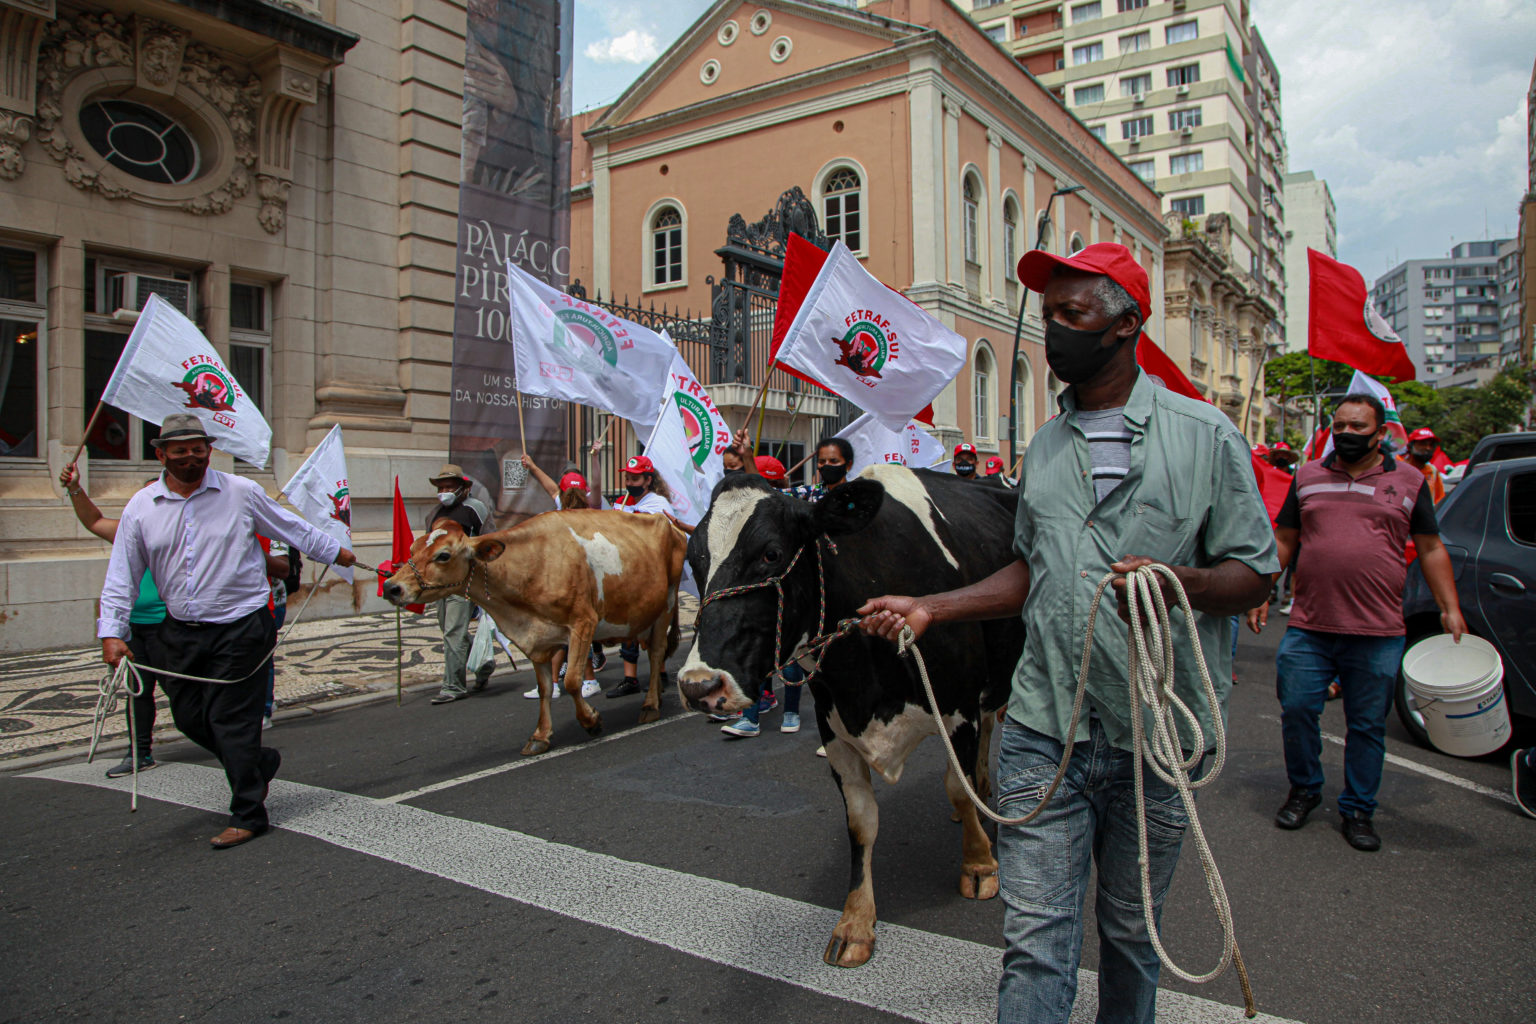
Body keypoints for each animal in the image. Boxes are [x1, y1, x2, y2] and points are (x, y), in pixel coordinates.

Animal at [384, 509, 691, 758]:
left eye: (443, 555)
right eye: (412, 549)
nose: (391, 587)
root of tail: (666, 522)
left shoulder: (583, 622)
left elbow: (572, 681)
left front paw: (591, 721)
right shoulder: (537, 639)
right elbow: (545, 688)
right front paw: (540, 736)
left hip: (665, 605)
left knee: (655, 654)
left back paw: (650, 706)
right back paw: (656, 695)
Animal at [678, 463, 1026, 970]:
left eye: (771, 553)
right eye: (694, 560)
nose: (699, 685)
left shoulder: (958, 708)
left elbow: (954, 789)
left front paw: (980, 863)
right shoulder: (835, 729)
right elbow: (861, 823)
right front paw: (856, 922)